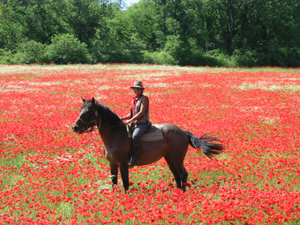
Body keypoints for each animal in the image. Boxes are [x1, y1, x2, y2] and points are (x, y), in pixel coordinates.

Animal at [72, 97, 223, 192]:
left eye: (88, 112)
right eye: (81, 110)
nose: (75, 127)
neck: (115, 134)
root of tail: (183, 132)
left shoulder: (122, 163)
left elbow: (125, 183)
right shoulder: (112, 164)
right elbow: (114, 183)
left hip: (177, 158)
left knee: (183, 174)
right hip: (169, 158)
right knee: (177, 175)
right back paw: (178, 193)